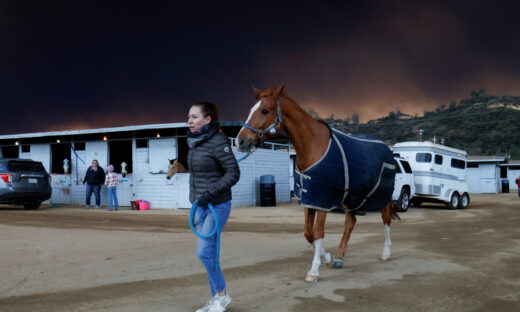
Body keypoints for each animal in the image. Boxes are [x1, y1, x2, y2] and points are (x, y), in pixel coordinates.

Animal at [236, 84, 398, 284]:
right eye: (251, 109)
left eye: (264, 110)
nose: (240, 141)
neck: (312, 145)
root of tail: (386, 148)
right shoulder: (310, 198)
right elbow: (308, 233)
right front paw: (328, 257)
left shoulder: (322, 199)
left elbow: (318, 232)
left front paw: (313, 271)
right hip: (352, 196)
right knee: (350, 222)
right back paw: (339, 257)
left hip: (382, 195)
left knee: (386, 219)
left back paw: (386, 252)